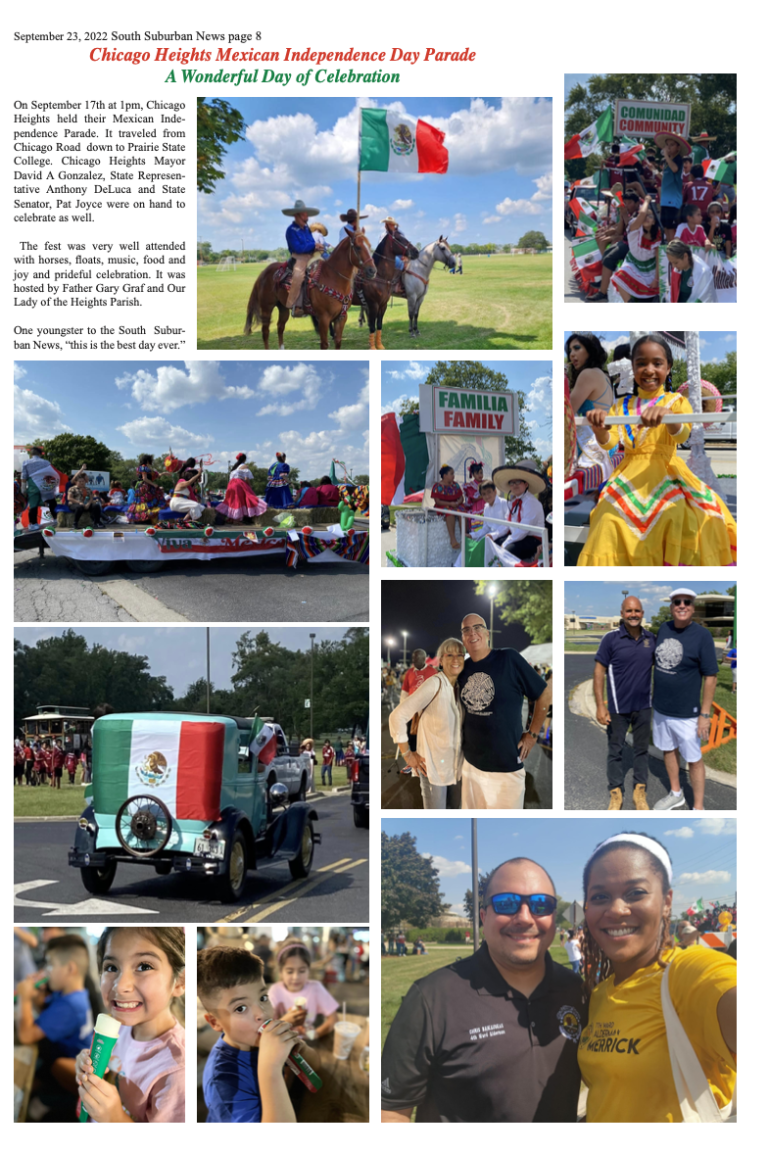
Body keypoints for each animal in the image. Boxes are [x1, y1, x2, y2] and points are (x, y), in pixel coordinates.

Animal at [242, 229, 373, 346]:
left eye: (369, 245)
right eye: (358, 247)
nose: (372, 270)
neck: (332, 277)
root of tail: (264, 272)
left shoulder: (341, 317)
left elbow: (338, 342)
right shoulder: (323, 318)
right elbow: (324, 344)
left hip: (283, 307)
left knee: (280, 328)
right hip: (266, 308)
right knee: (265, 332)